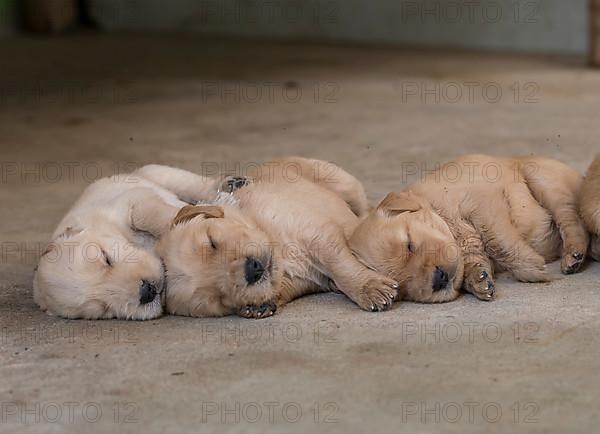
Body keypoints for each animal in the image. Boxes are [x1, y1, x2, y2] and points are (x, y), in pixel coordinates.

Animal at [33, 164, 220, 320]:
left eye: (106, 258)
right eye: (104, 309)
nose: (147, 292)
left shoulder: (131, 201)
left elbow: (149, 215)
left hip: (156, 172)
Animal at [155, 158, 398, 318]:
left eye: (212, 241)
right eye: (218, 298)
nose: (252, 271)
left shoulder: (318, 233)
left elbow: (341, 265)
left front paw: (369, 288)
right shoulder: (298, 280)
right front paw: (258, 306)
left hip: (343, 183)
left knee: (363, 208)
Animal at [350, 154, 588, 304]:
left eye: (410, 245)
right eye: (401, 286)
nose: (438, 280)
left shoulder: (481, 203)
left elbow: (497, 241)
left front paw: (531, 268)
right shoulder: (470, 240)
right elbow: (474, 259)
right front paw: (480, 281)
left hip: (546, 181)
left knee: (571, 221)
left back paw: (573, 255)